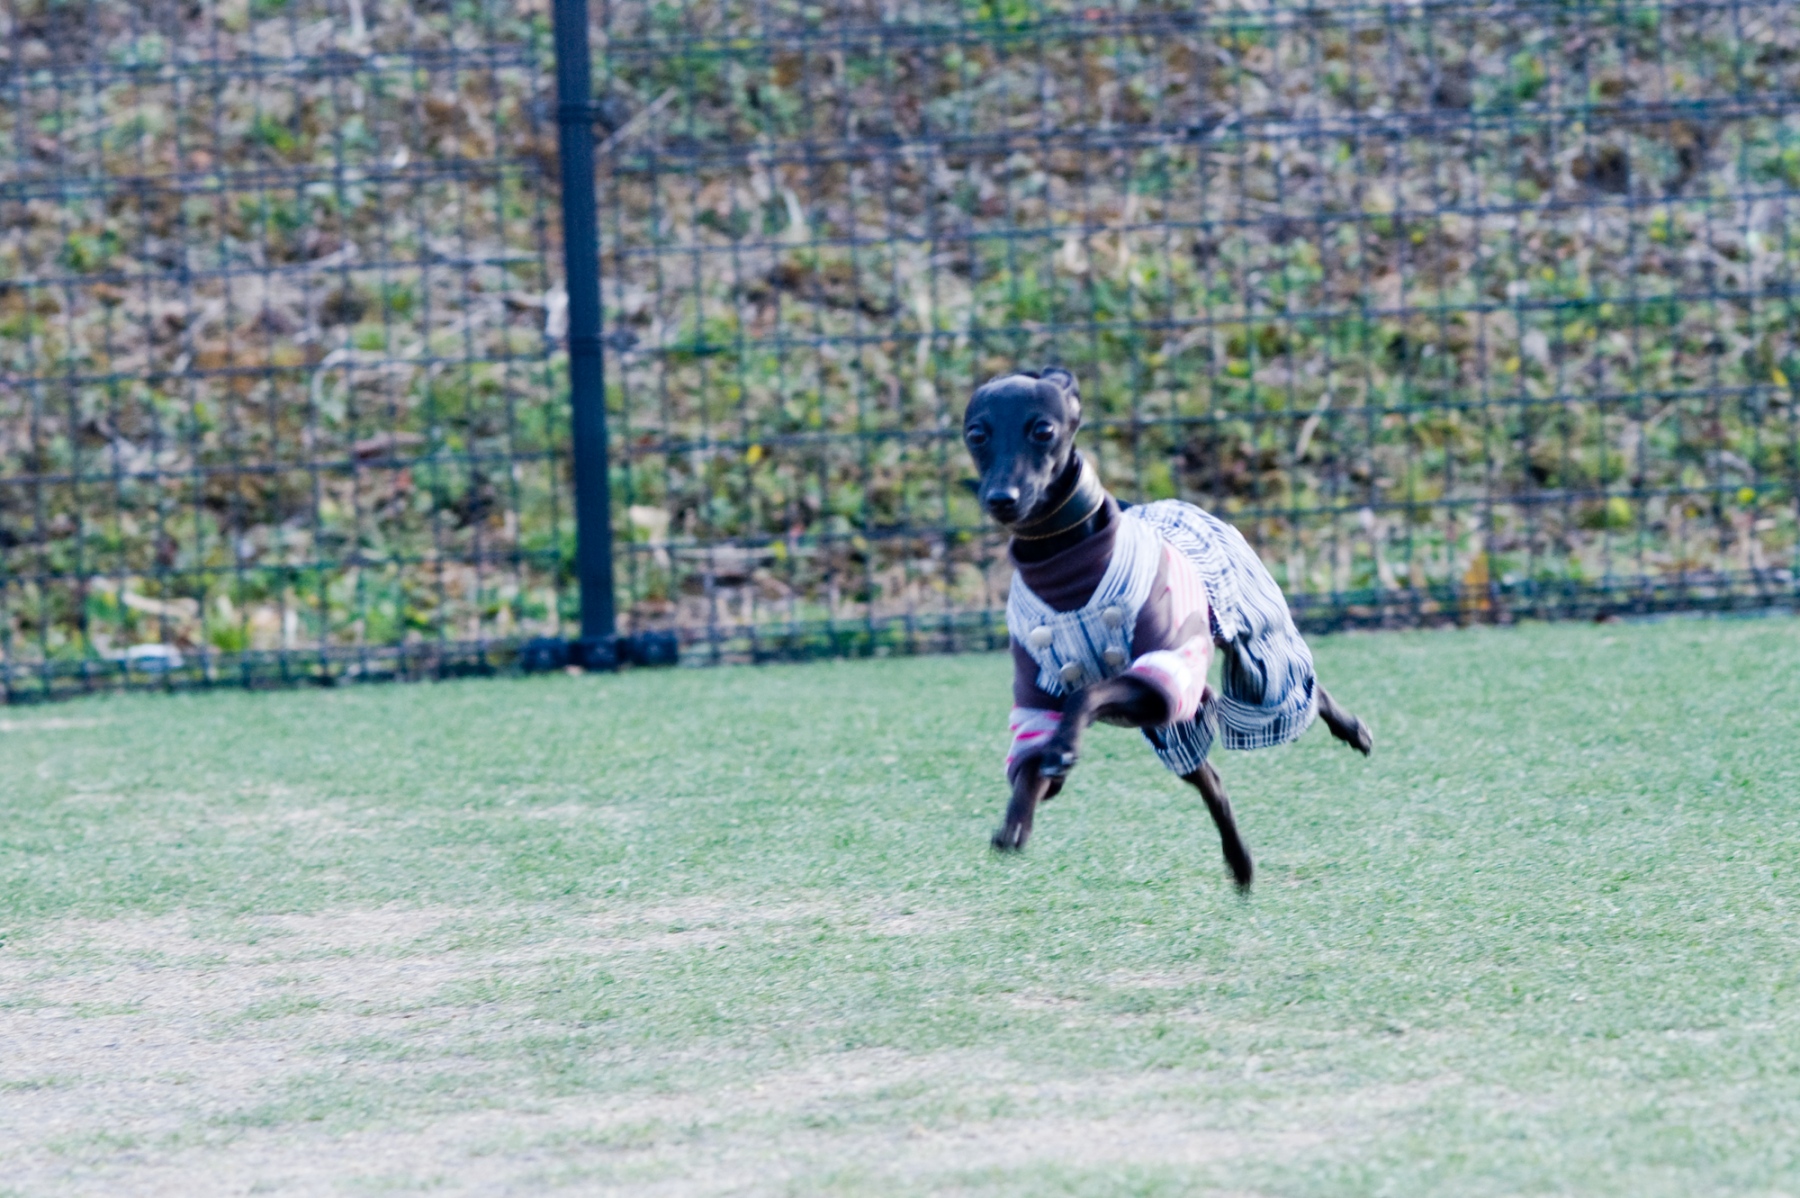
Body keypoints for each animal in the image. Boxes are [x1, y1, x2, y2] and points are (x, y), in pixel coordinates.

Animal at [965, 368, 1372, 889]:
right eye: (977, 434)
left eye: (1043, 430)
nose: (1002, 499)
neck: (1064, 563)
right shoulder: (1040, 694)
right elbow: (1035, 754)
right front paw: (1020, 813)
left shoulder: (1160, 672)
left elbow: (1087, 694)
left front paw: (1064, 749)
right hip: (1175, 723)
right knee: (1210, 778)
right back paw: (1240, 864)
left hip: (1255, 658)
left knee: (1299, 692)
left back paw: (1351, 729)